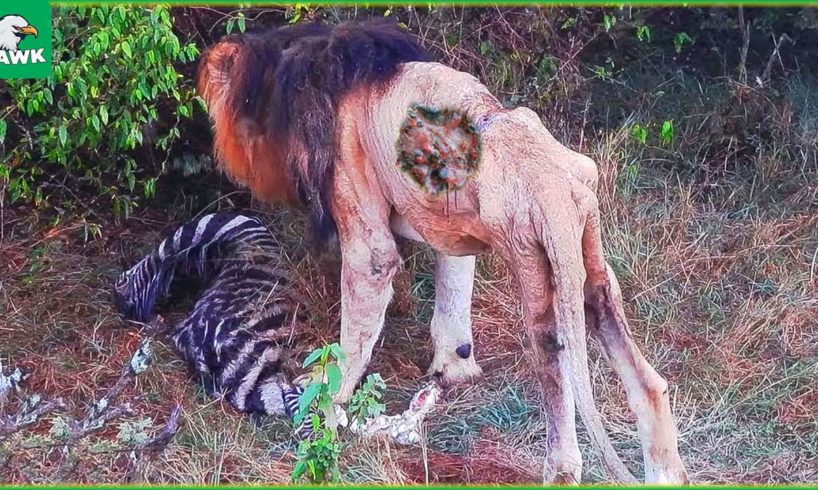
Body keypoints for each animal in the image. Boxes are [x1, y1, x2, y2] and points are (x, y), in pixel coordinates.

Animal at [198, 18, 688, 482]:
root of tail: (550, 181)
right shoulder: (449, 221)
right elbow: (453, 292)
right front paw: (452, 370)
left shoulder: (364, 228)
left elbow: (352, 338)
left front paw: (322, 406)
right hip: (589, 263)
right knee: (643, 376)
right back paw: (666, 474)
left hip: (534, 266)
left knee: (555, 371)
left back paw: (560, 471)